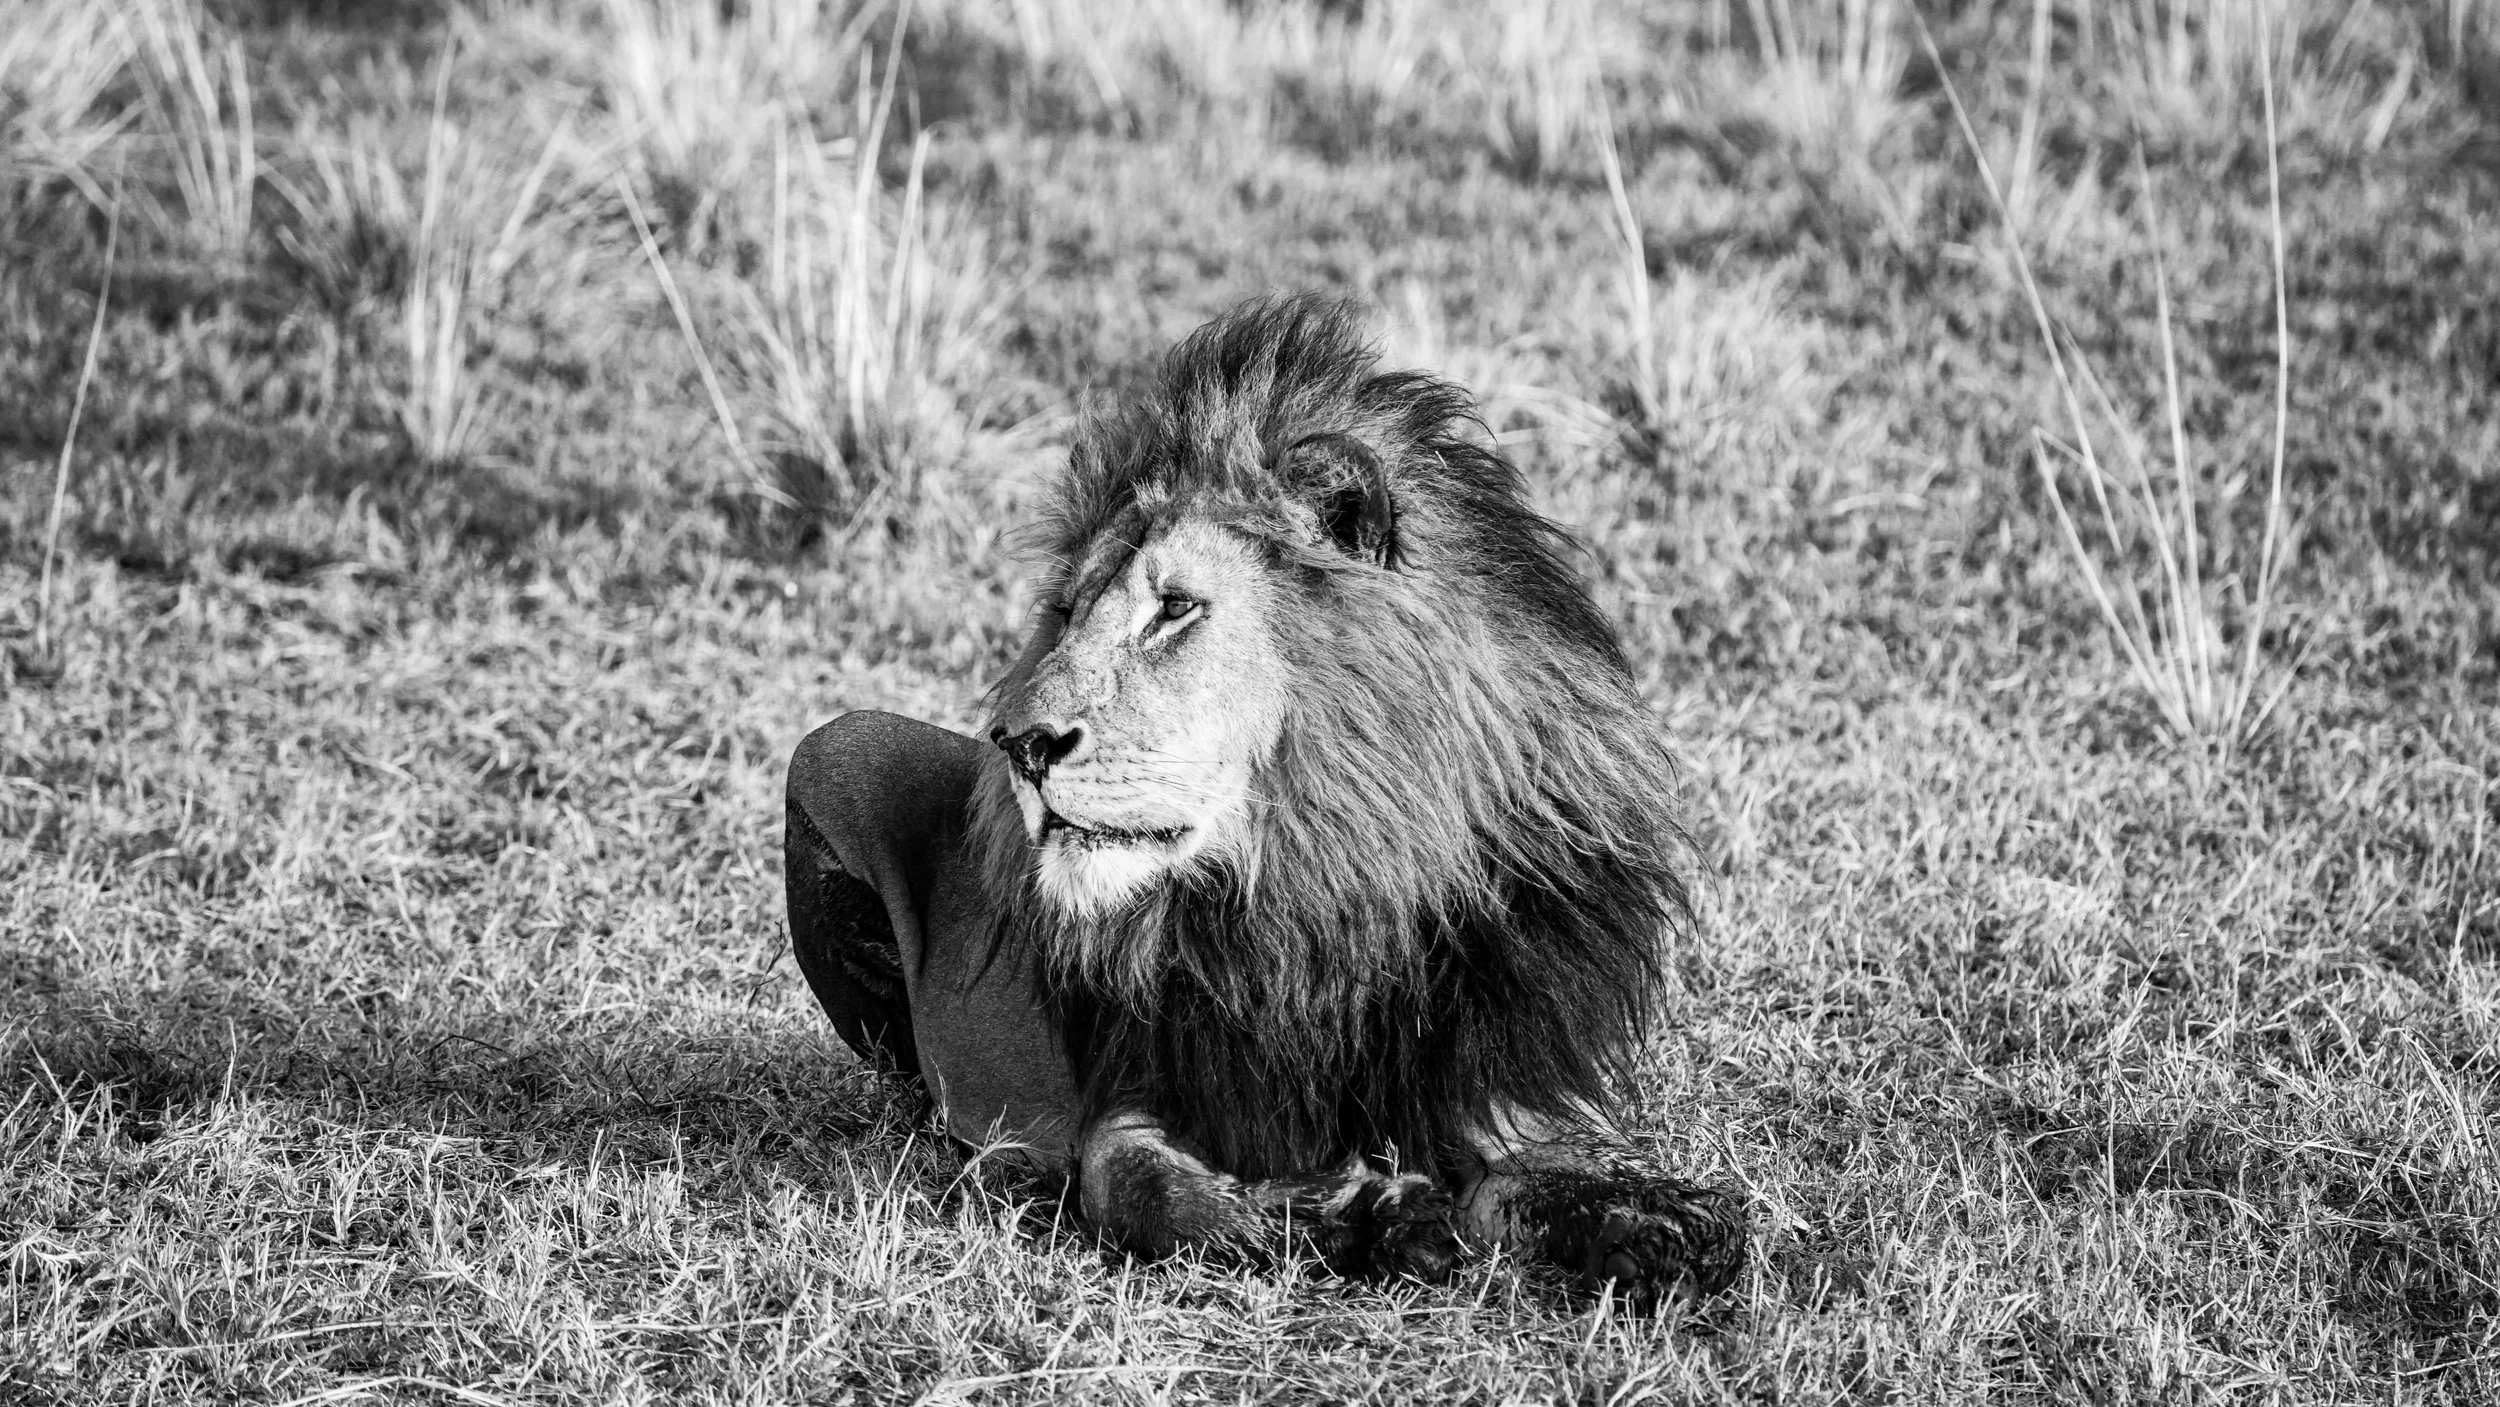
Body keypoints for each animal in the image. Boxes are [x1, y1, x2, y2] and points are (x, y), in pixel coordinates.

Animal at [784, 294, 1746, 1305]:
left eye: (1174, 609)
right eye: (1066, 614)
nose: (1021, 743)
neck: (1314, 885)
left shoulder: (1494, 1071)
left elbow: (1544, 1175)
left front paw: (1655, 1223)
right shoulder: (1131, 1088)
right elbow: (1144, 1191)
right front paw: (1365, 1214)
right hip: (829, 748)